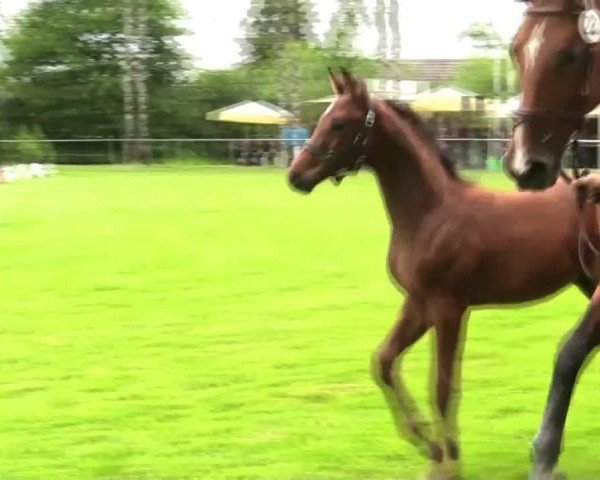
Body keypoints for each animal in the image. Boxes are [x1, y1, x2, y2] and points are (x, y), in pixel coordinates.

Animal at [290, 69, 596, 478]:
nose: (296, 175)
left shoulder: (449, 307)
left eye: (338, 123)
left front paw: (448, 460)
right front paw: (428, 444)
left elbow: (442, 384)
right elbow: (383, 361)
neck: (431, 213)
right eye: (323, 119)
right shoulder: (418, 304)